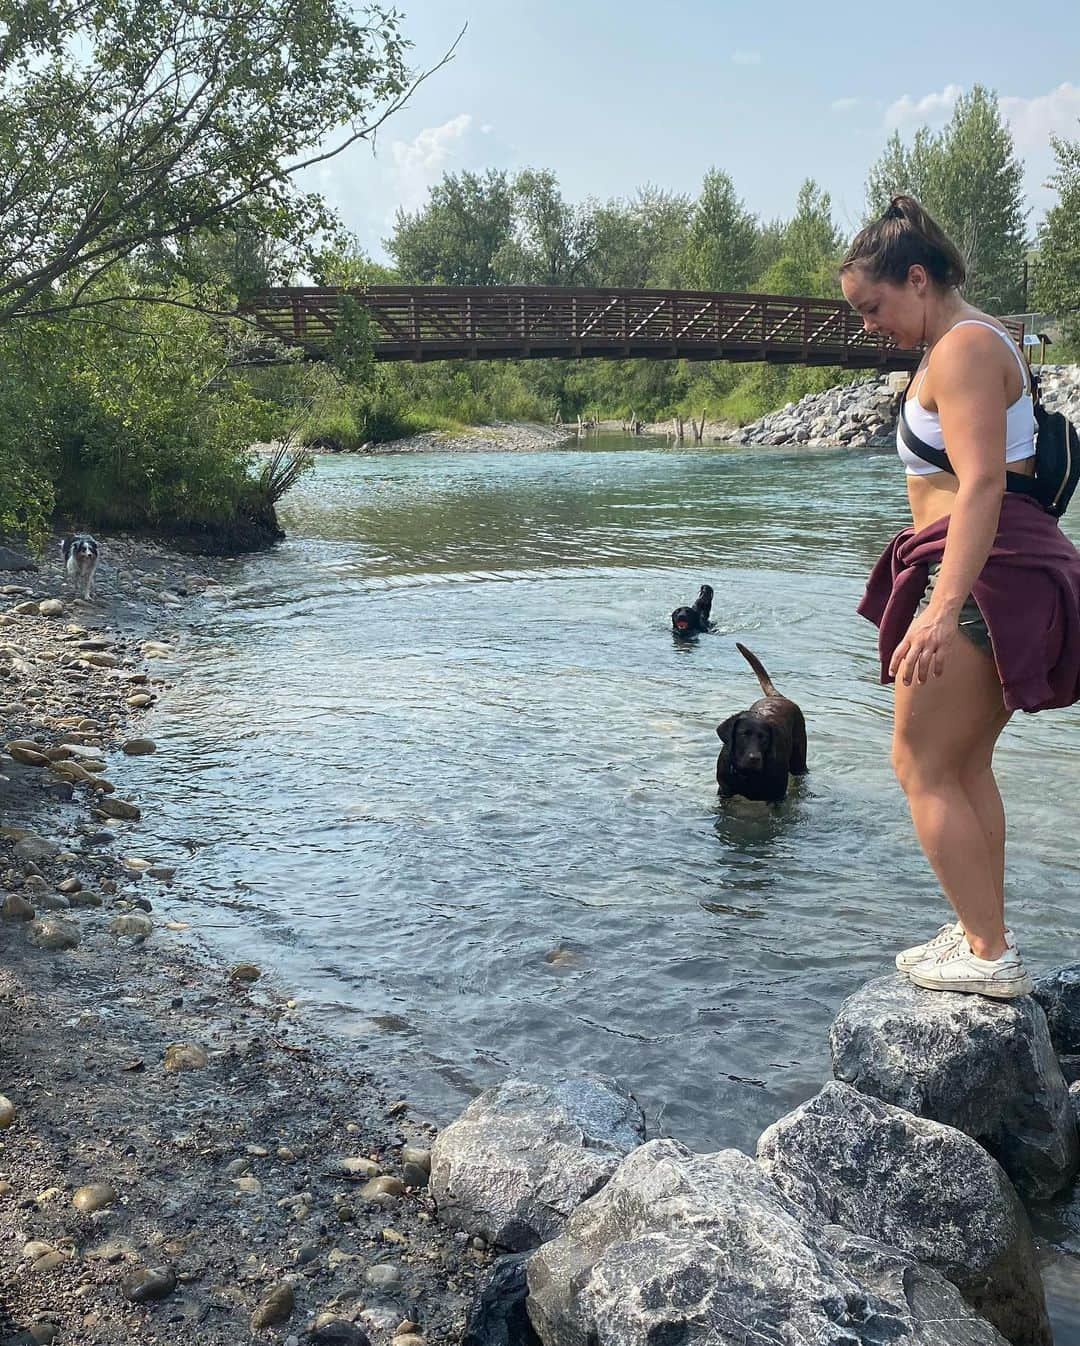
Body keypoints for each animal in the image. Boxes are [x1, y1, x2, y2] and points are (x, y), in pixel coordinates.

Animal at [711, 640, 802, 796]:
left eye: (764, 738)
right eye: (743, 735)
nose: (754, 758)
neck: (747, 776)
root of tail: (777, 696)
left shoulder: (777, 795)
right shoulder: (724, 791)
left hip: (799, 761)